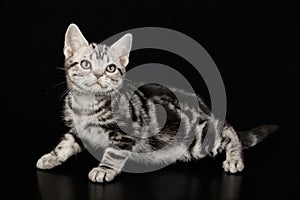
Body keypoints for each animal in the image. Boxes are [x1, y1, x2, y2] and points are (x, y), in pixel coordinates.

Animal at [37, 23, 278, 183]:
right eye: (86, 64)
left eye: (111, 68)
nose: (97, 75)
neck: (86, 104)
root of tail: (204, 108)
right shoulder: (78, 130)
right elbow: (66, 143)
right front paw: (51, 157)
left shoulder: (125, 133)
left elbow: (114, 153)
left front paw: (104, 169)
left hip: (199, 140)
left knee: (227, 128)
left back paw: (234, 158)